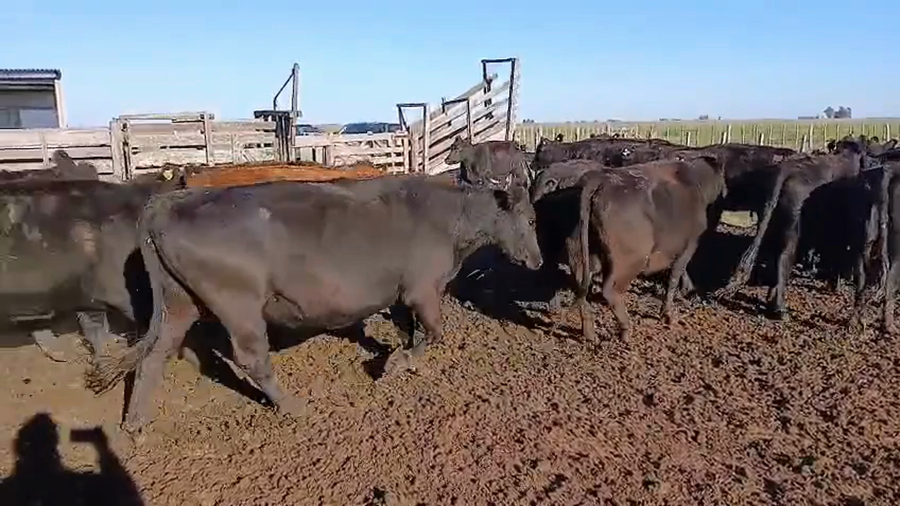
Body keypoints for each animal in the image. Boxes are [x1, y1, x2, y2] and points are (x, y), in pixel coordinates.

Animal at [85, 176, 543, 433]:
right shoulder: (422, 289)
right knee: (251, 357)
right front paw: (397, 364)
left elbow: (407, 328)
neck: (450, 219)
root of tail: (171, 201)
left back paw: (136, 422)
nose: (538, 261)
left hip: (180, 302)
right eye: (532, 219)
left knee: (154, 355)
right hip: (238, 304)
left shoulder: (398, 293)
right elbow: (432, 330)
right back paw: (291, 406)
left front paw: (400, 360)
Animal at [573, 155, 727, 342]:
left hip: (584, 254)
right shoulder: (689, 245)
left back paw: (589, 332)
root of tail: (600, 180)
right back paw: (626, 329)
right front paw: (668, 315)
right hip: (631, 259)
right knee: (610, 291)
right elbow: (674, 277)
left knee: (581, 286)